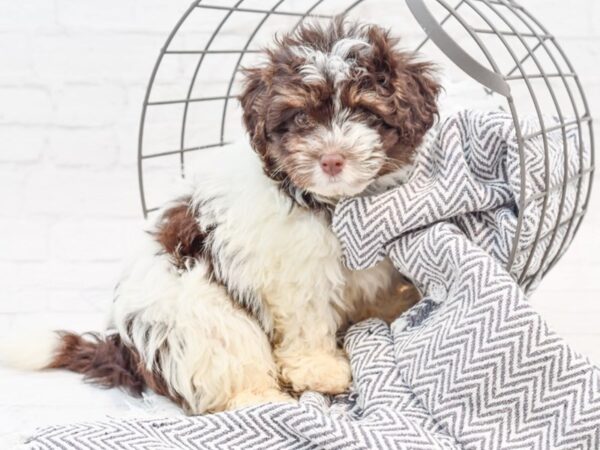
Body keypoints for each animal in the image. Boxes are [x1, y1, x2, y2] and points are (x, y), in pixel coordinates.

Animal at [1, 20, 440, 414]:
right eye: (301, 118)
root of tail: (127, 348)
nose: (332, 159)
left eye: (365, 112)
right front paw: (320, 369)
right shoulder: (291, 275)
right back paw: (266, 401)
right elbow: (307, 319)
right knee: (230, 366)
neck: (326, 200)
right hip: (205, 320)